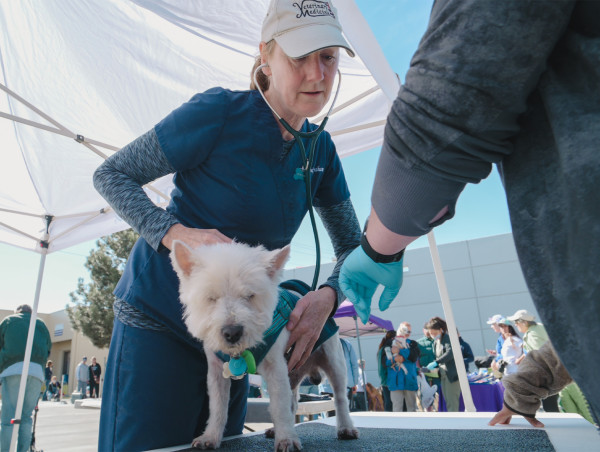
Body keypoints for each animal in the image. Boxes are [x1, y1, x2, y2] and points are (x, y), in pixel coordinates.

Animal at [170, 242, 356, 452]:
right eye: (211, 298)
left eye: (250, 296)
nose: (232, 332)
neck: (241, 352)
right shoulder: (217, 371)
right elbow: (218, 406)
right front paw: (210, 436)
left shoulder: (276, 367)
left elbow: (279, 406)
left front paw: (286, 439)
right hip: (292, 370)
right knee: (293, 401)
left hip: (334, 359)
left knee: (340, 396)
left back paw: (346, 428)